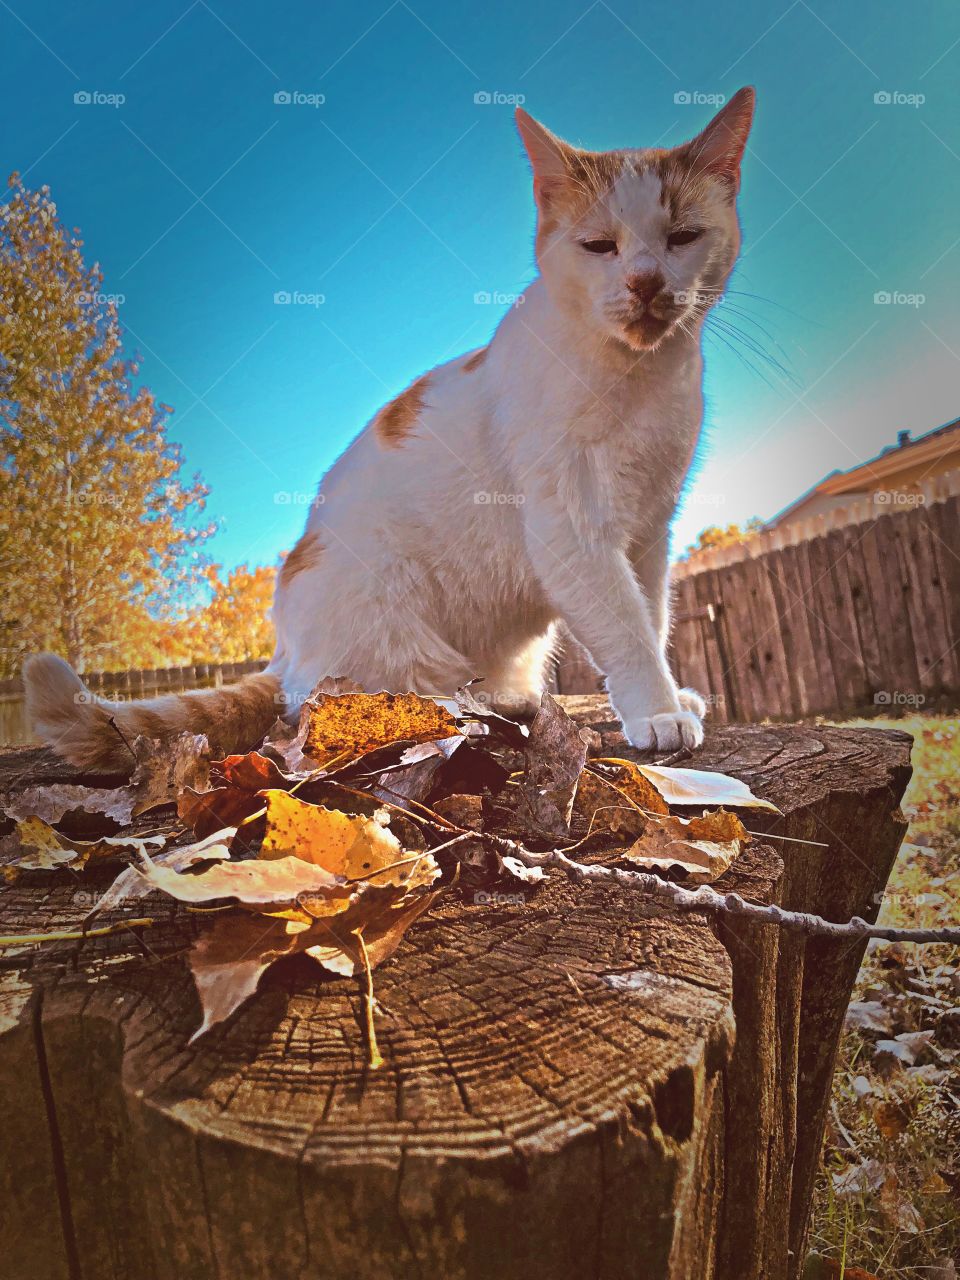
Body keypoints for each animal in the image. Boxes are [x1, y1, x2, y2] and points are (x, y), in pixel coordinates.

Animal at [26, 92, 757, 768]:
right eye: (600, 246)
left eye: (683, 237)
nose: (644, 283)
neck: (640, 379)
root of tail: (282, 650)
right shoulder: (573, 532)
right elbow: (626, 629)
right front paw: (657, 712)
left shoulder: (648, 532)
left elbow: (653, 618)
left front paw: (670, 698)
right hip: (385, 624)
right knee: (346, 696)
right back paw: (466, 705)